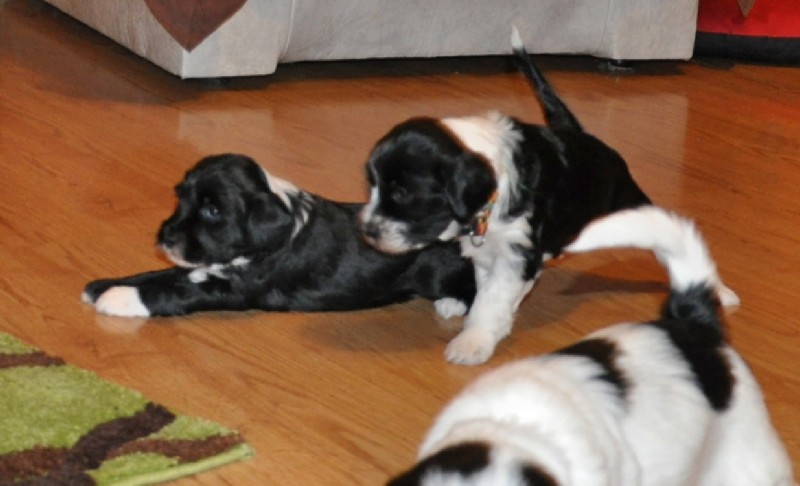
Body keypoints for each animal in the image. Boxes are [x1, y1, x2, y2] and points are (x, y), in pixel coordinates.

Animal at [82, 153, 476, 318]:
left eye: (212, 211)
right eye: (180, 198)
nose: (165, 237)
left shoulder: (232, 288)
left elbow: (174, 291)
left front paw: (119, 300)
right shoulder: (199, 265)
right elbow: (155, 276)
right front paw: (102, 285)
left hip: (439, 272)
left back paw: (452, 304)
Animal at [360, 29, 653, 364]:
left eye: (403, 193)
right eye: (372, 186)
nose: (367, 231)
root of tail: (581, 135)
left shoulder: (516, 250)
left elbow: (493, 298)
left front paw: (472, 342)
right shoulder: (487, 249)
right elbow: (484, 287)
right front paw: (465, 310)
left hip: (626, 194)